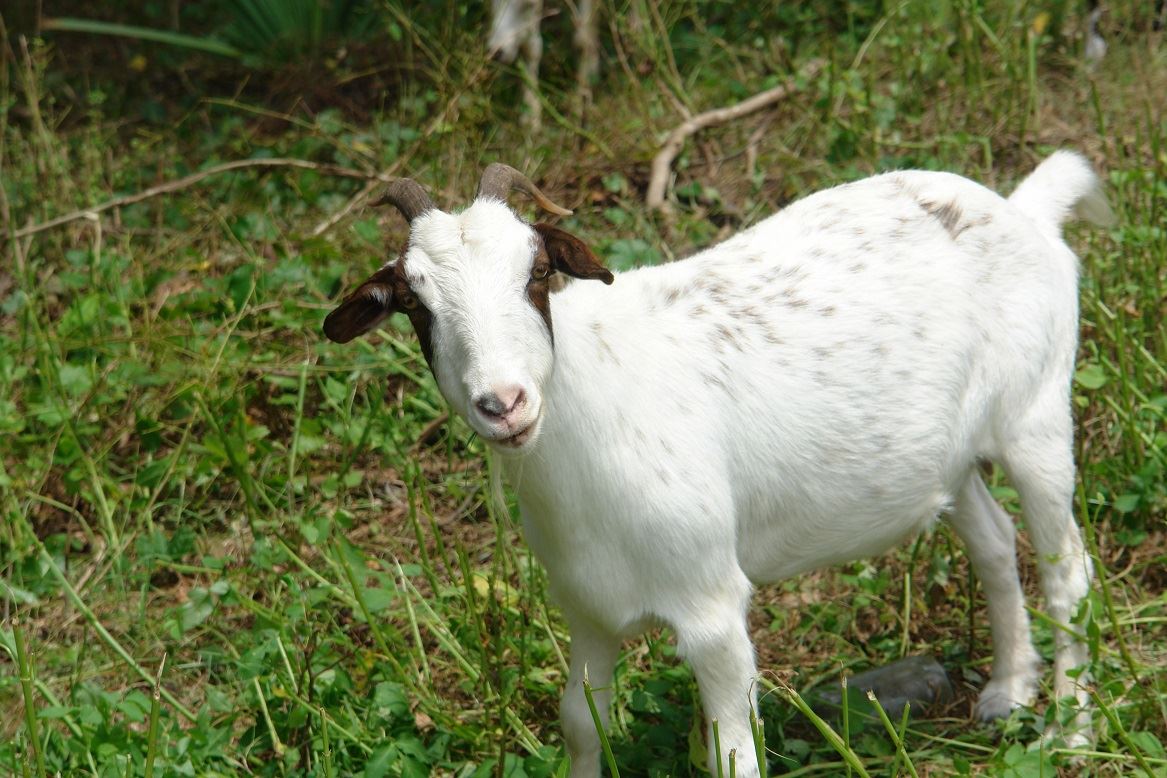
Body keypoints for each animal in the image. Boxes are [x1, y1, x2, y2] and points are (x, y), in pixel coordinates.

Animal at [323, 155, 1111, 776]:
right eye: (414, 304)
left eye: (538, 272)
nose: (504, 403)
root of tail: (1021, 210)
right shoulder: (586, 607)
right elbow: (582, 723)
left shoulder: (711, 606)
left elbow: (735, 754)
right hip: (948, 457)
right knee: (992, 542)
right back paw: (1008, 690)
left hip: (1035, 412)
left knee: (1067, 571)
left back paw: (1070, 734)